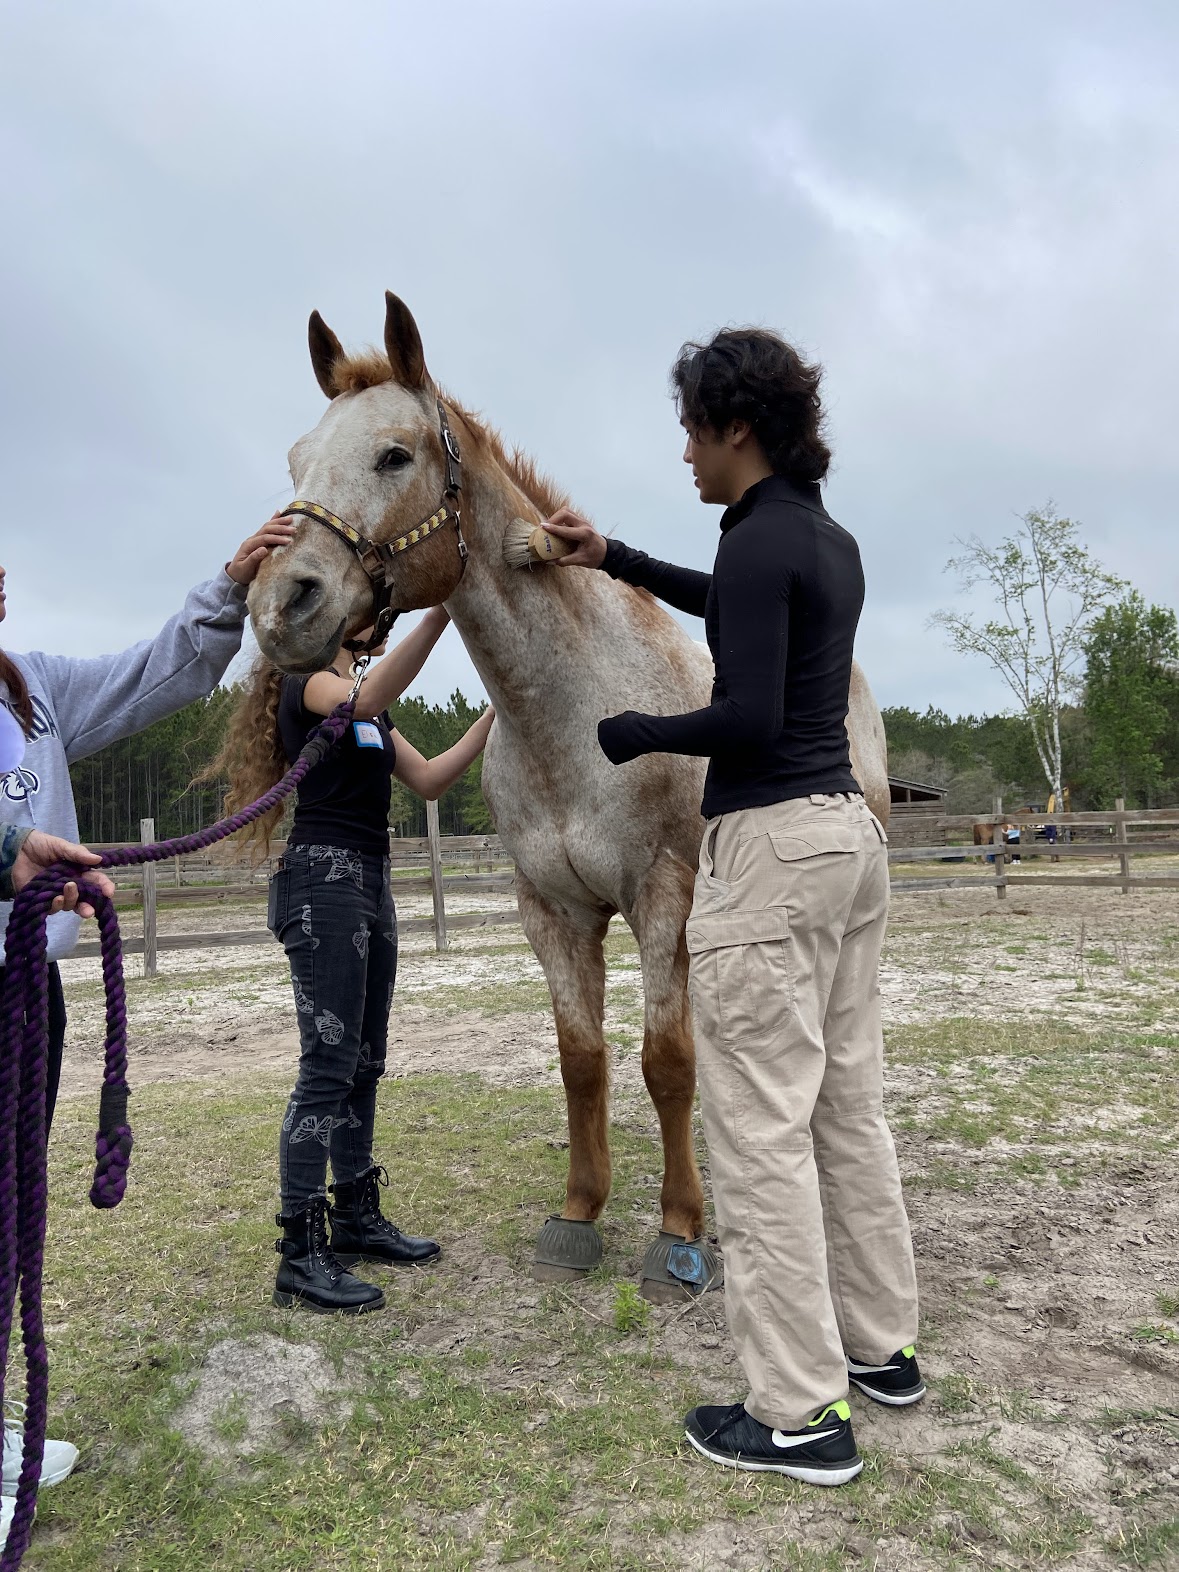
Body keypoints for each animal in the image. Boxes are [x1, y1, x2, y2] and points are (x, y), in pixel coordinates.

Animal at [248, 292, 891, 1298]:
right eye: (294, 461)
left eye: (394, 454)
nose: (282, 606)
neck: (566, 711)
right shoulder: (551, 910)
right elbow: (581, 1060)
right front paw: (580, 1211)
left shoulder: (661, 899)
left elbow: (666, 1063)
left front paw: (678, 1228)